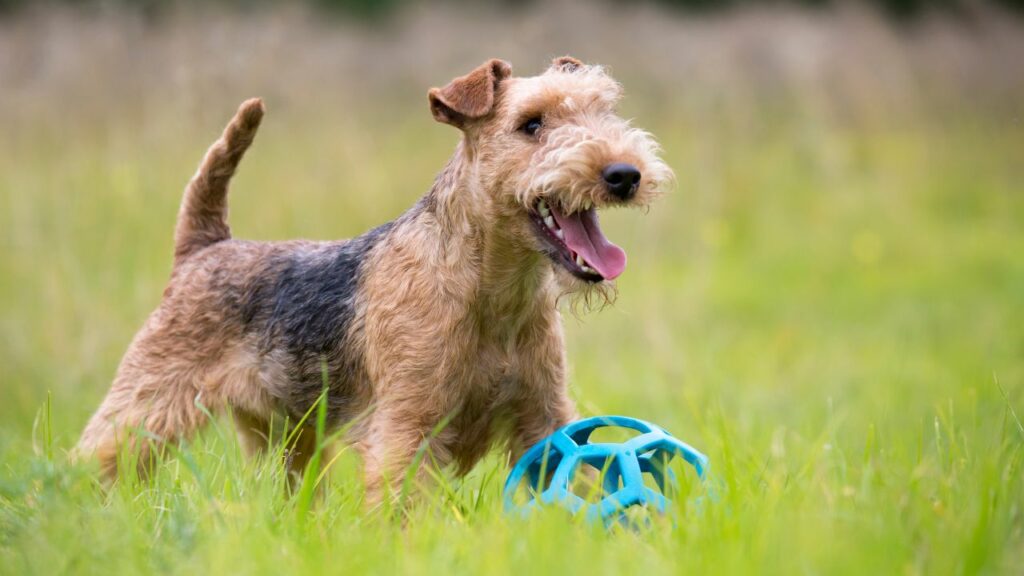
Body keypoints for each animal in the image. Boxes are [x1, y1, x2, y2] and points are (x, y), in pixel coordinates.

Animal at [77, 54, 671, 502]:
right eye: (531, 124)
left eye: (605, 110)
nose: (624, 174)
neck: (491, 291)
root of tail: (206, 246)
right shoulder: (409, 425)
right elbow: (403, 507)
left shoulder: (544, 420)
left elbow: (578, 481)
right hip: (148, 400)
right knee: (95, 458)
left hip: (284, 436)